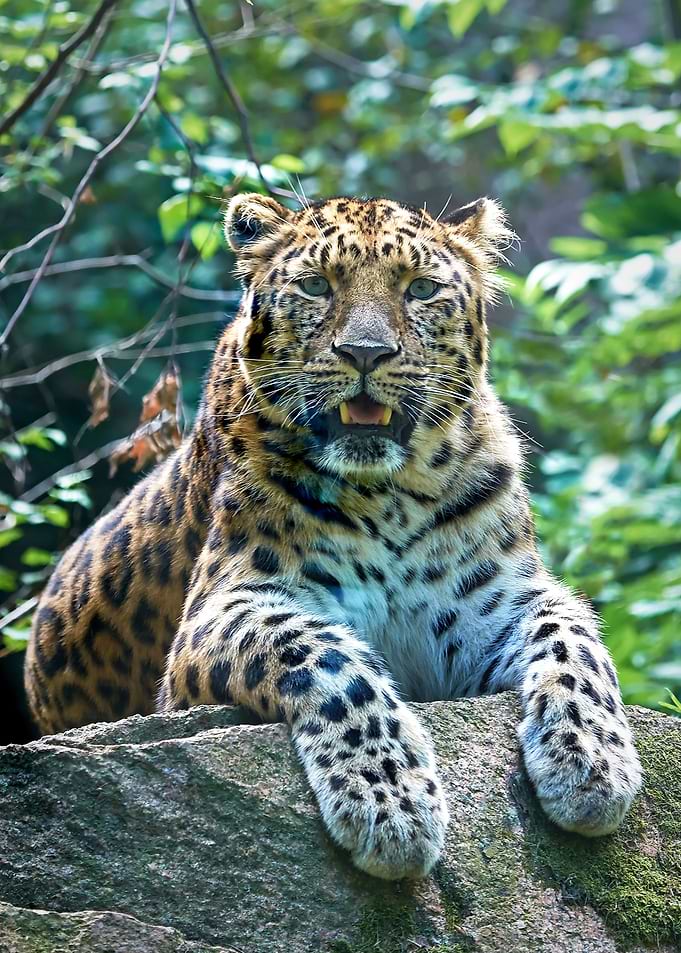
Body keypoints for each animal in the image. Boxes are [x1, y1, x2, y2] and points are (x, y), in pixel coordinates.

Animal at [25, 192, 642, 881]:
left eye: (420, 288)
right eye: (317, 286)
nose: (366, 353)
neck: (392, 494)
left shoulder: (497, 599)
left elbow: (573, 637)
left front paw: (590, 758)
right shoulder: (220, 611)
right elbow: (327, 656)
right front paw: (391, 799)